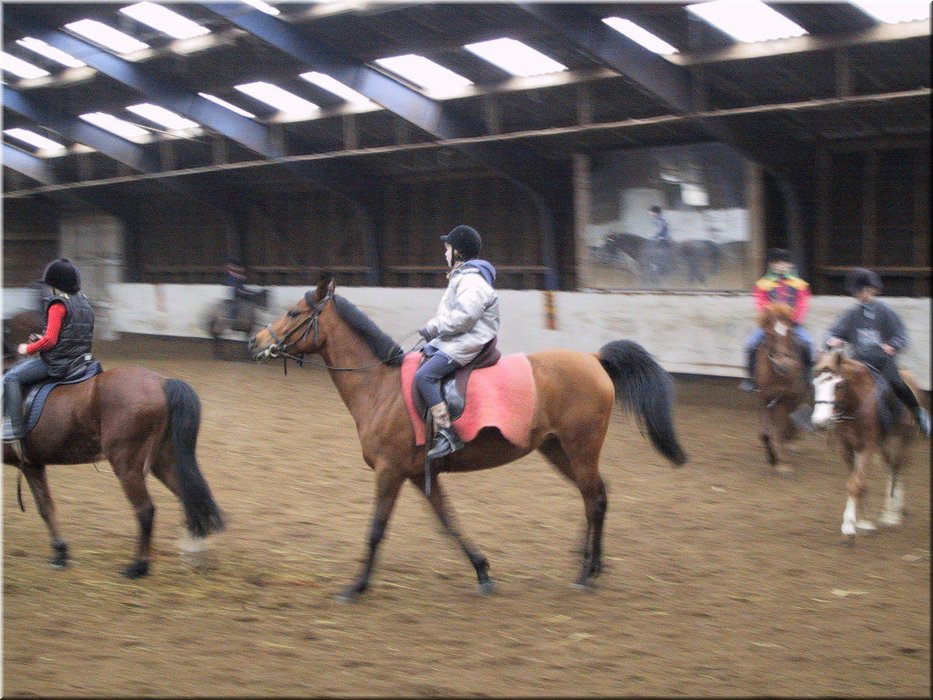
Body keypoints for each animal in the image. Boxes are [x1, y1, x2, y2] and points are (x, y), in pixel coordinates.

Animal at [2, 365, 226, 577]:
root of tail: (162, 382)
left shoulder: (30, 466)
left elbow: (44, 508)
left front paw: (59, 553)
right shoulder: (33, 465)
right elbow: (46, 507)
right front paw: (61, 553)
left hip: (127, 466)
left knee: (146, 510)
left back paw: (138, 567)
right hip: (163, 461)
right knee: (191, 499)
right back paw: (196, 553)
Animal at [249, 274, 688, 601]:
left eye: (293, 312)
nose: (256, 341)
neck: (381, 386)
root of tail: (594, 361)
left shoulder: (390, 471)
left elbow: (376, 528)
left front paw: (356, 587)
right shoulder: (417, 474)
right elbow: (449, 522)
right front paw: (482, 571)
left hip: (579, 448)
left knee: (593, 499)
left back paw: (584, 573)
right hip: (558, 449)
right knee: (595, 496)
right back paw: (591, 564)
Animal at [753, 302, 808, 475]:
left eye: (788, 332)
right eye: (769, 334)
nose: (783, 366)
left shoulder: (785, 397)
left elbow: (782, 429)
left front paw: (783, 463)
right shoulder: (764, 398)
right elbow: (765, 433)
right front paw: (773, 459)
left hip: (794, 395)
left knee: (790, 417)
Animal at [811, 350, 923, 540]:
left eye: (839, 385)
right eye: (815, 384)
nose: (820, 421)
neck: (855, 403)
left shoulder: (868, 446)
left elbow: (855, 484)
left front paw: (848, 528)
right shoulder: (846, 447)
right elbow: (858, 482)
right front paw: (865, 522)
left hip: (900, 441)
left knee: (897, 469)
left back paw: (893, 515)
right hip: (884, 445)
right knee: (891, 470)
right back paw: (888, 513)